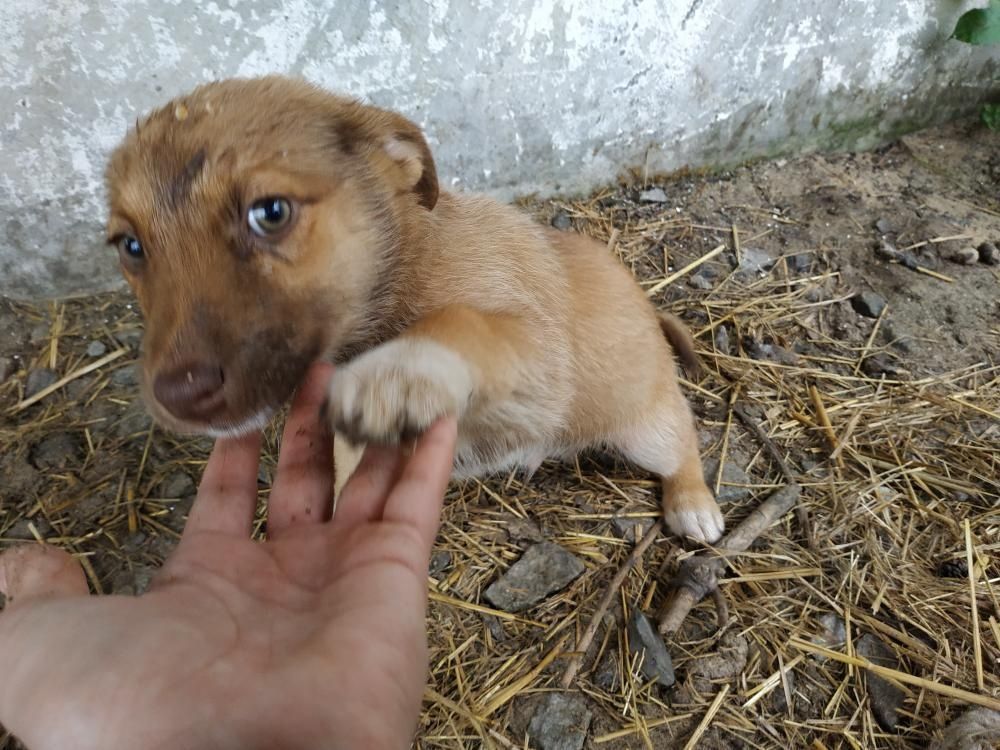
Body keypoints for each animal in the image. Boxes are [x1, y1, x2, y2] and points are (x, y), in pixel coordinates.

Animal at [103, 76, 728, 544]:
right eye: (130, 247)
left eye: (271, 212)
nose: (179, 395)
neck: (404, 266)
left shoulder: (539, 348)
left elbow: (460, 321)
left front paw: (399, 371)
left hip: (644, 425)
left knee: (683, 436)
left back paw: (693, 503)